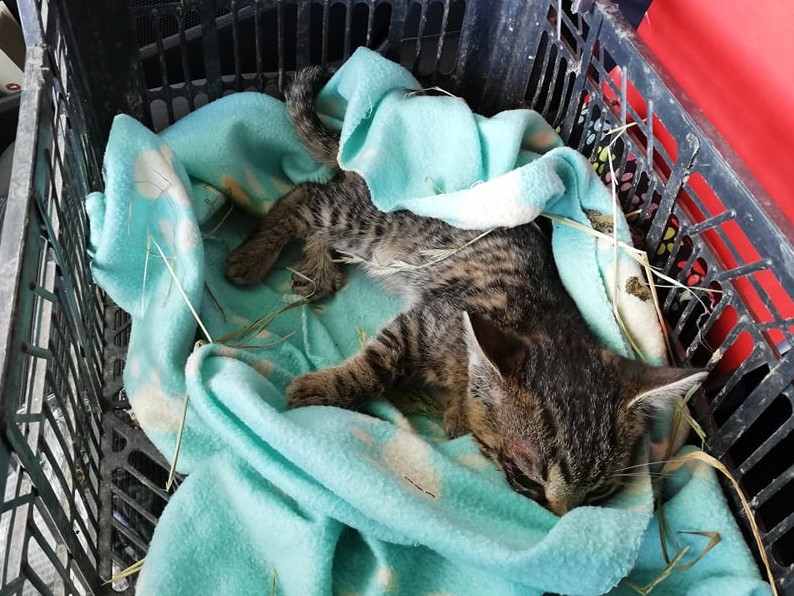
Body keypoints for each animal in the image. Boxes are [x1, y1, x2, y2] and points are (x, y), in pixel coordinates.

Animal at [225, 65, 706, 516]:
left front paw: (457, 411)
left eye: (599, 492)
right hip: (372, 225)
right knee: (306, 196)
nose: (560, 517)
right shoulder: (422, 321)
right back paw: (252, 258)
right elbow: (375, 366)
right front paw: (325, 388)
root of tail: (357, 160)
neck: (542, 321)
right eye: (528, 476)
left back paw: (317, 269)